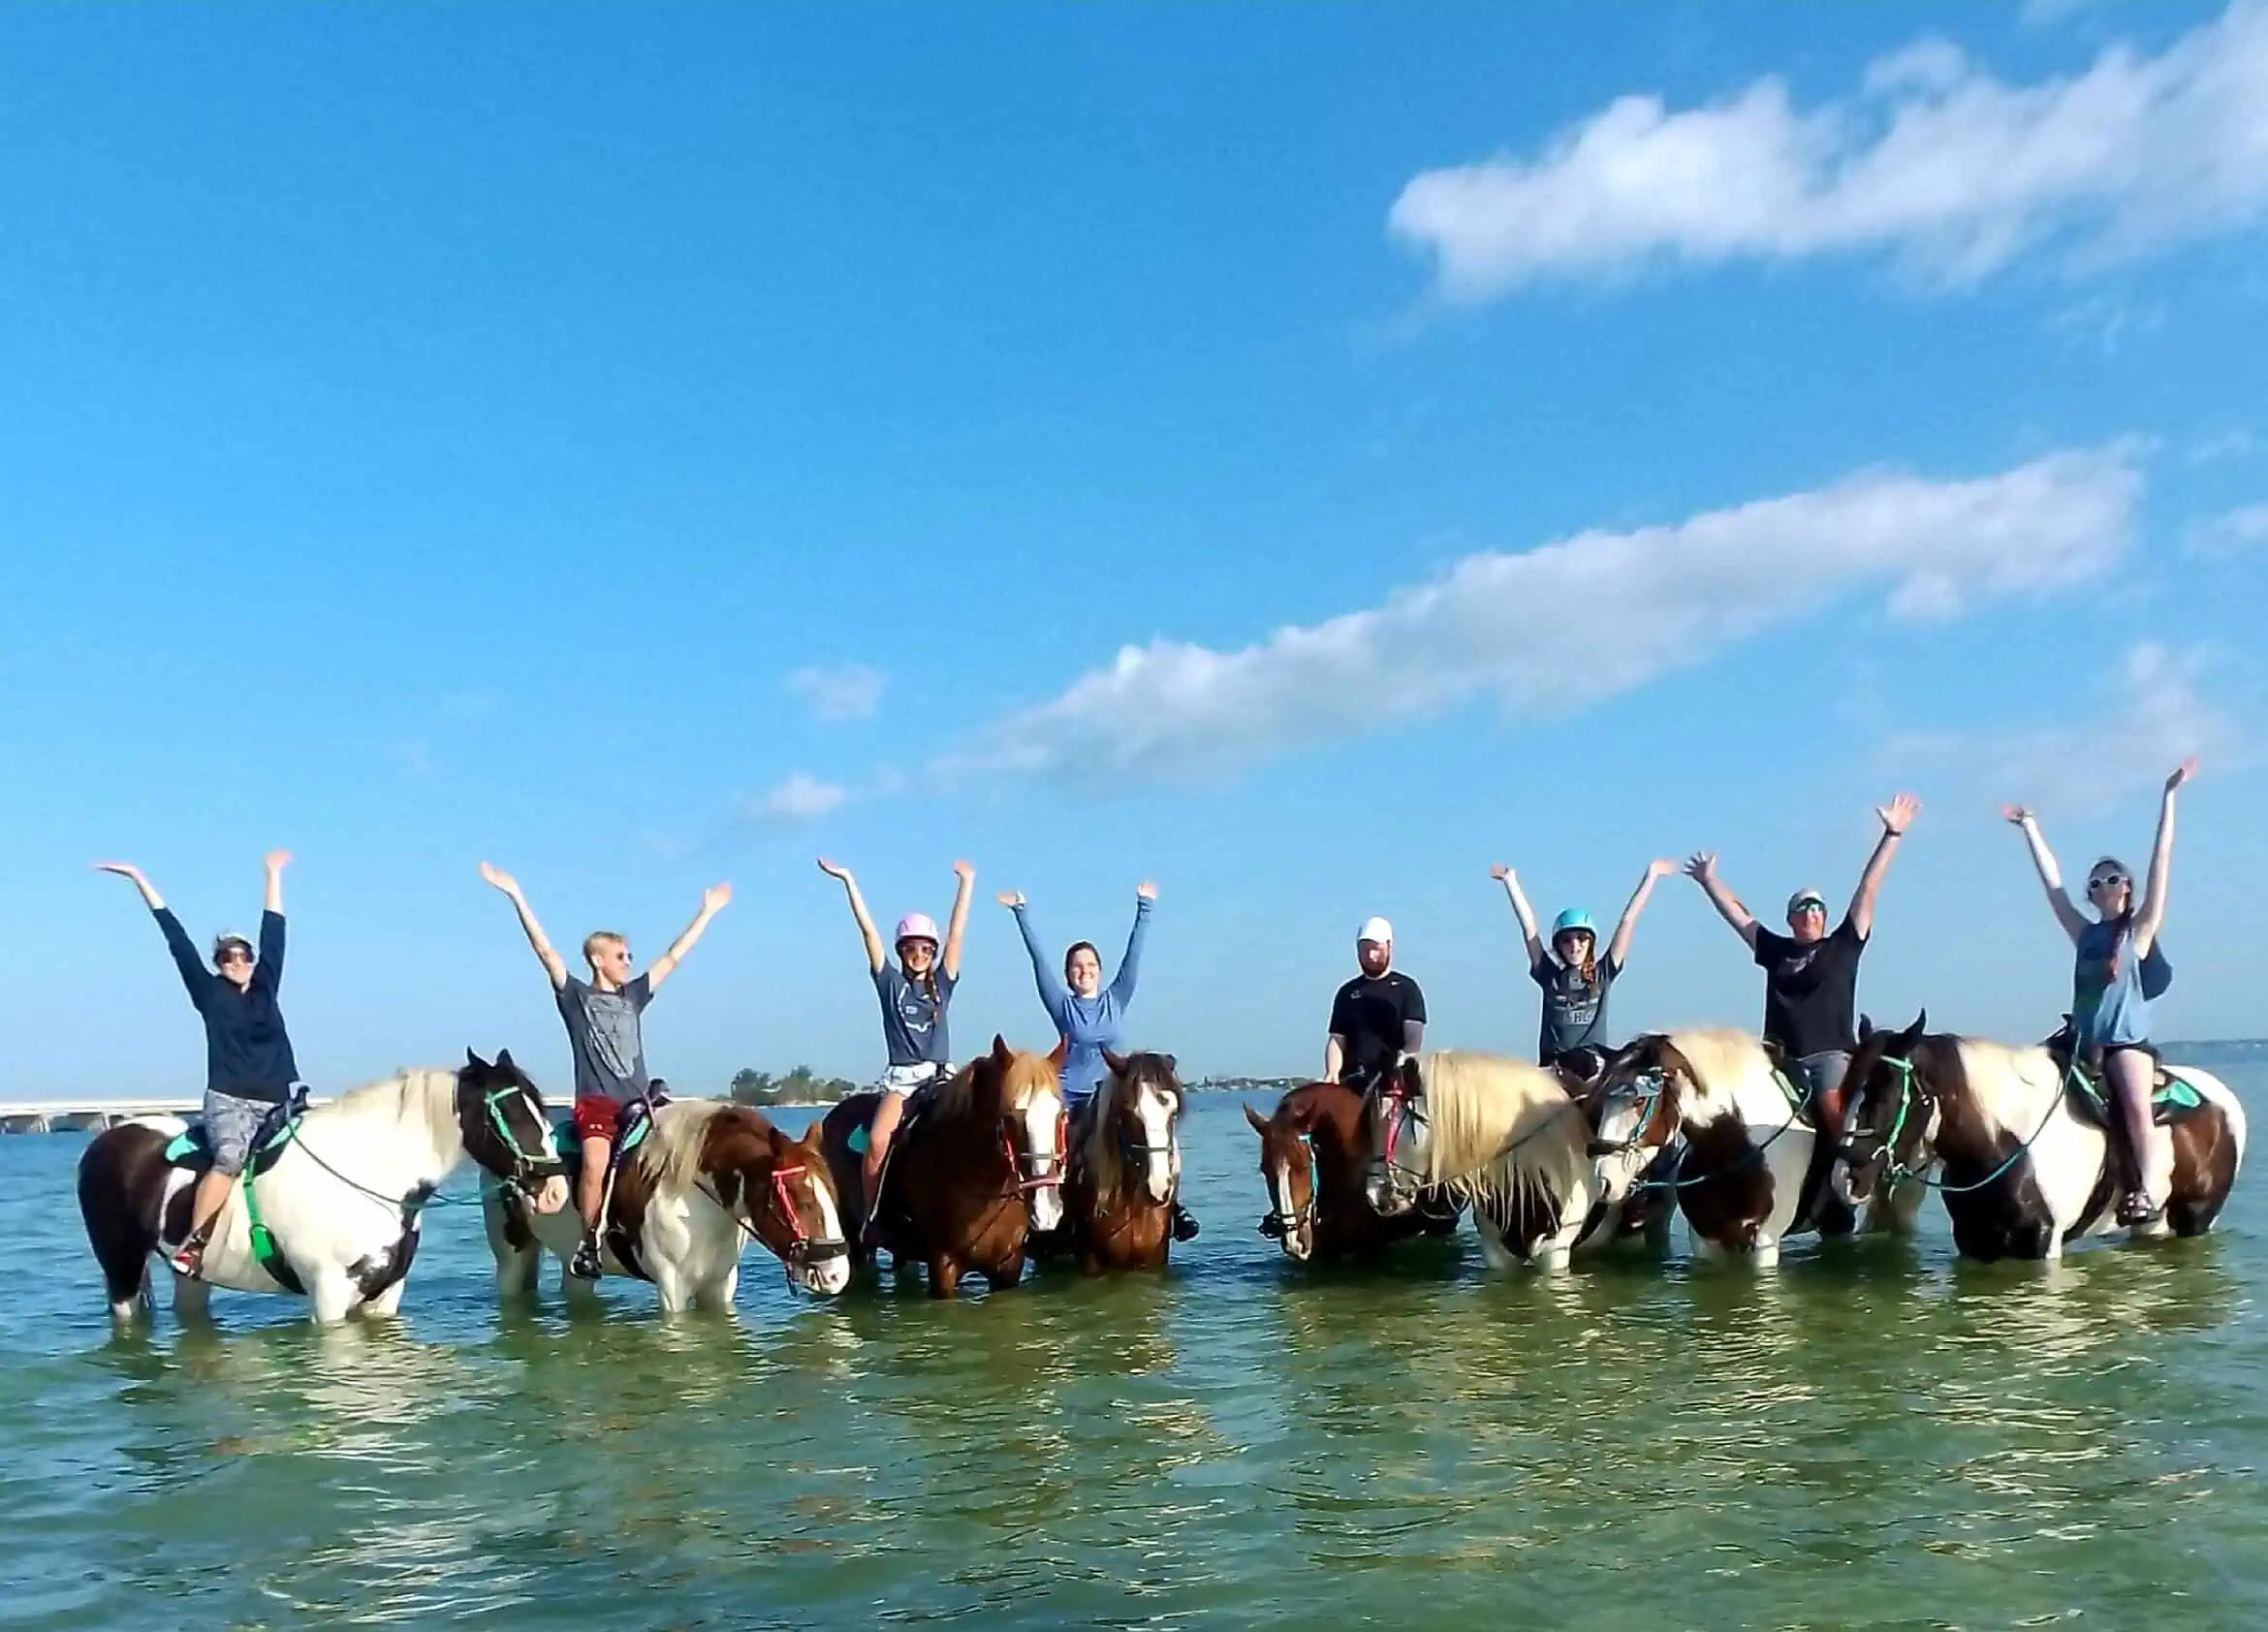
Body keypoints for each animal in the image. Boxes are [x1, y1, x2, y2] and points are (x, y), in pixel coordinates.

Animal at [76, 1049, 567, 1326]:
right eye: (510, 1114)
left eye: (541, 1109)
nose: (556, 1190)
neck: (367, 1177)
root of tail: (112, 1135)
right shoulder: (329, 1296)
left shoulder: (385, 1295)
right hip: (121, 1269)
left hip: (192, 1277)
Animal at [484, 1097, 851, 1310]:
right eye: (800, 1199)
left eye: (832, 1195)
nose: (837, 1275)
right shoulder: (672, 1286)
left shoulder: (720, 1285)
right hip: (512, 1257)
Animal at [1838, 1012, 2247, 1261]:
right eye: (1849, 1088)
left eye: (1889, 1092)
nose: (1846, 1178)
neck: (2003, 1141)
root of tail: (2223, 1099)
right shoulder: (1974, 1240)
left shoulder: (2042, 1243)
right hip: (2154, 1222)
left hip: (2196, 1216)